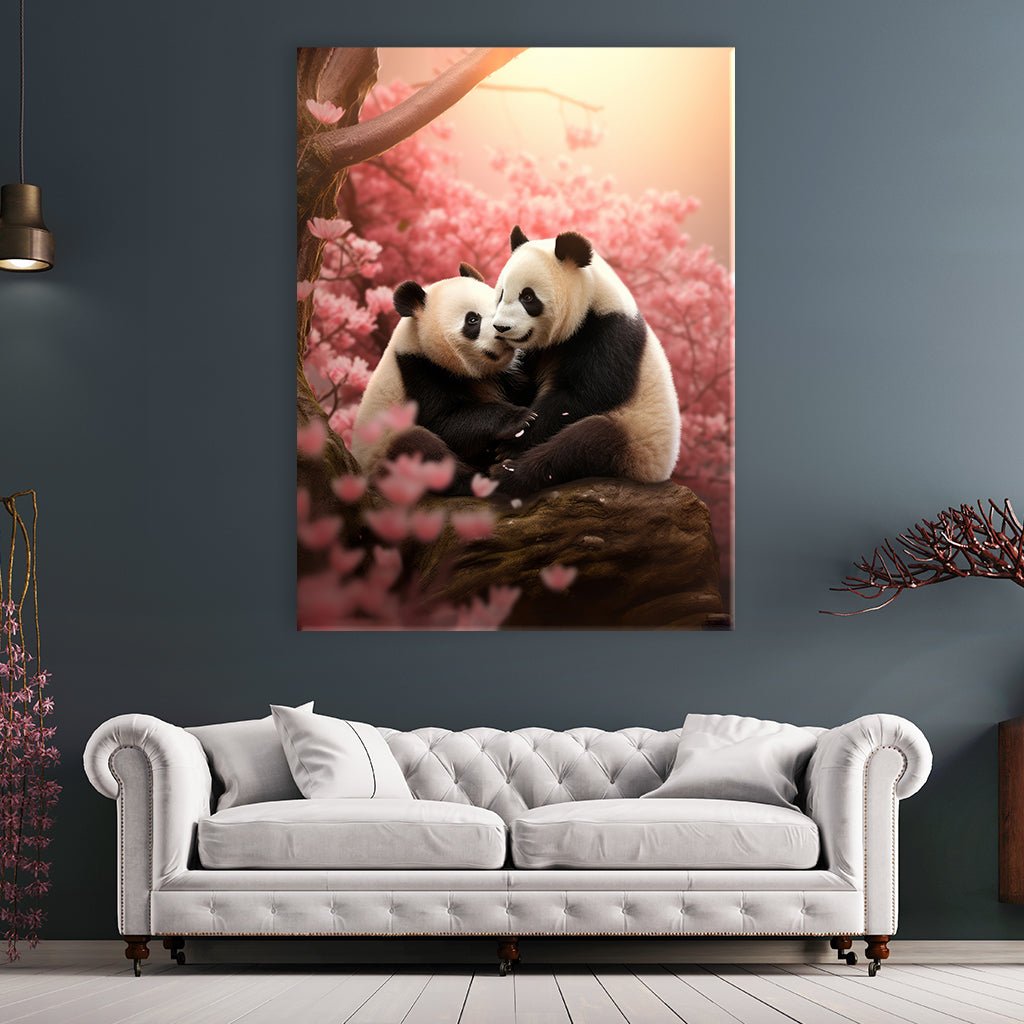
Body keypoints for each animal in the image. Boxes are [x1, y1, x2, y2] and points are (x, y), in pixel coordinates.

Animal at [351, 264, 533, 487]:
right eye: (472, 319)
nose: (504, 330)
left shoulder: (504, 374)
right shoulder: (419, 372)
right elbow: (444, 422)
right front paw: (519, 418)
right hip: (384, 452)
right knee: (420, 448)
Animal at [487, 226, 681, 497]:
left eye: (528, 297)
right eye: (501, 293)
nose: (501, 327)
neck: (592, 297)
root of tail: (657, 475)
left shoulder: (610, 333)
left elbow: (585, 394)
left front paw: (513, 441)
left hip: (637, 440)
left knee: (583, 445)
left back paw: (508, 474)